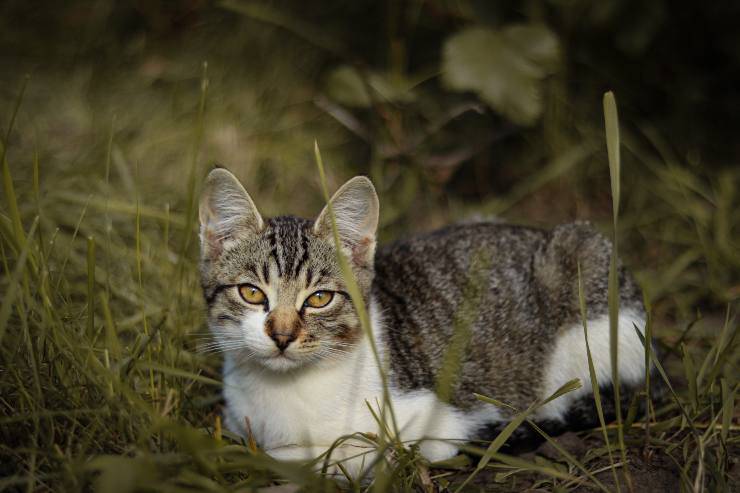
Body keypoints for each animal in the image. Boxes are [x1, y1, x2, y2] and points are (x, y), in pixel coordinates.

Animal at [199, 168, 652, 476]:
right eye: (252, 293)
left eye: (320, 299)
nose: (282, 335)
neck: (285, 391)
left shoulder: (435, 419)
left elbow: (352, 452)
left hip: (586, 260)